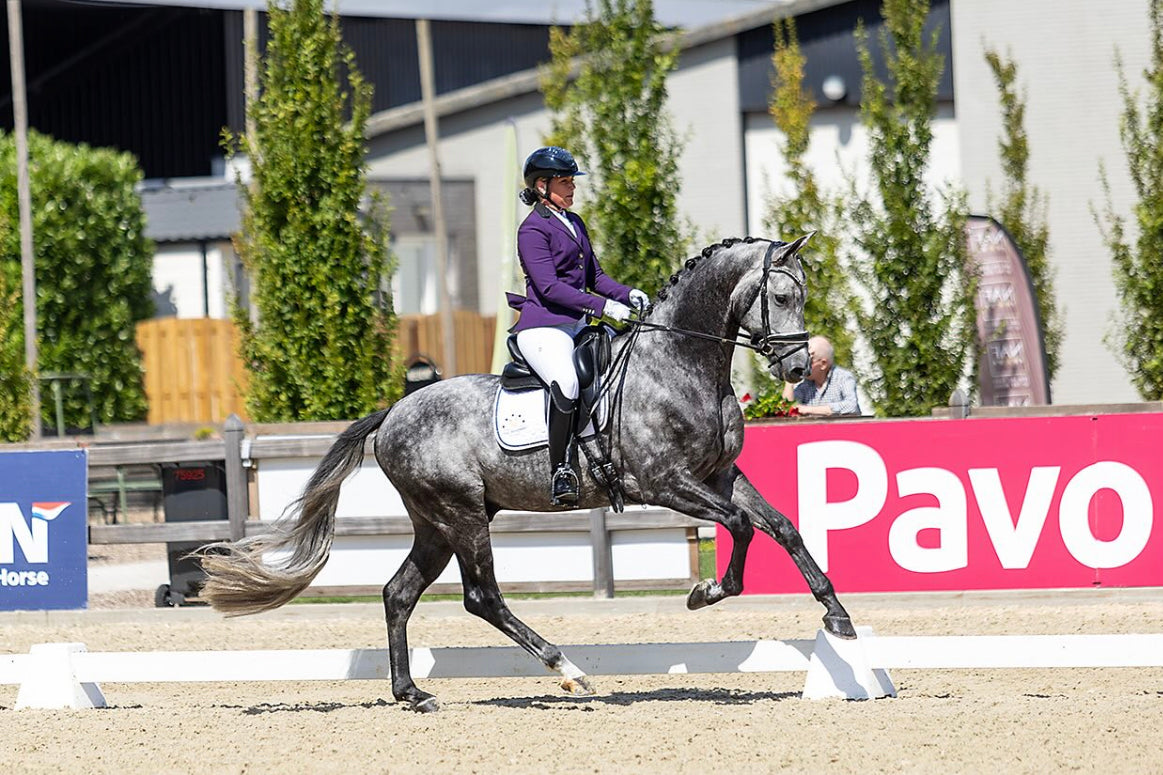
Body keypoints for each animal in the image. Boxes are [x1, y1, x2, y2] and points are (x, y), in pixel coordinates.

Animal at [198, 234, 857, 713]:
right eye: (781, 297)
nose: (798, 367)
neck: (681, 362)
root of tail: (394, 411)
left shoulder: (720, 475)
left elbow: (782, 525)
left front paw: (838, 617)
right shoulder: (665, 482)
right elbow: (742, 527)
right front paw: (705, 592)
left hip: (437, 524)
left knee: (398, 593)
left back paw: (413, 694)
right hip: (461, 515)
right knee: (482, 597)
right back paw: (568, 672)